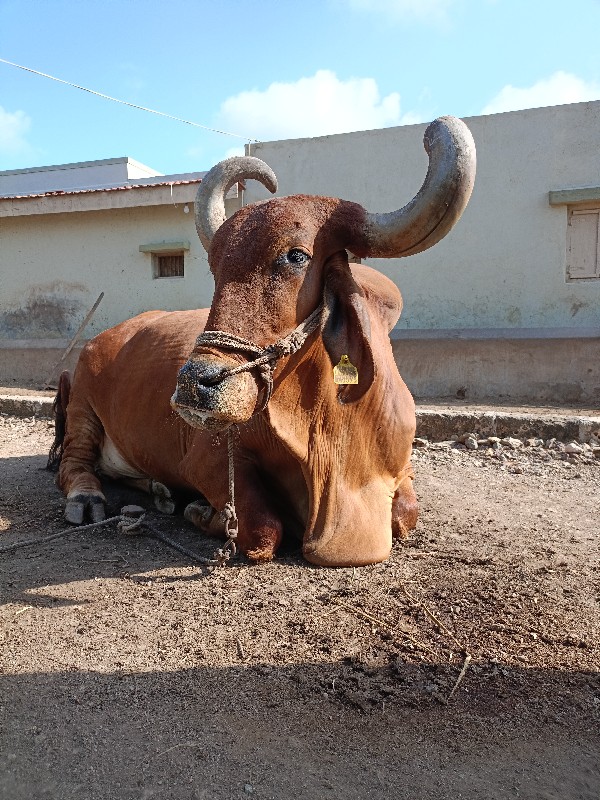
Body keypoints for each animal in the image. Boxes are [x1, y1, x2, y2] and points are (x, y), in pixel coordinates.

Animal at [50, 117, 474, 568]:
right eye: (215, 263)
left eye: (296, 256)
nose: (194, 384)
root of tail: (104, 337)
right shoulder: (210, 458)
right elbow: (266, 528)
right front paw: (204, 512)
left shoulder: (400, 468)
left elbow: (407, 513)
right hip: (82, 407)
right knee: (74, 464)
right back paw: (89, 498)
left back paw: (162, 491)